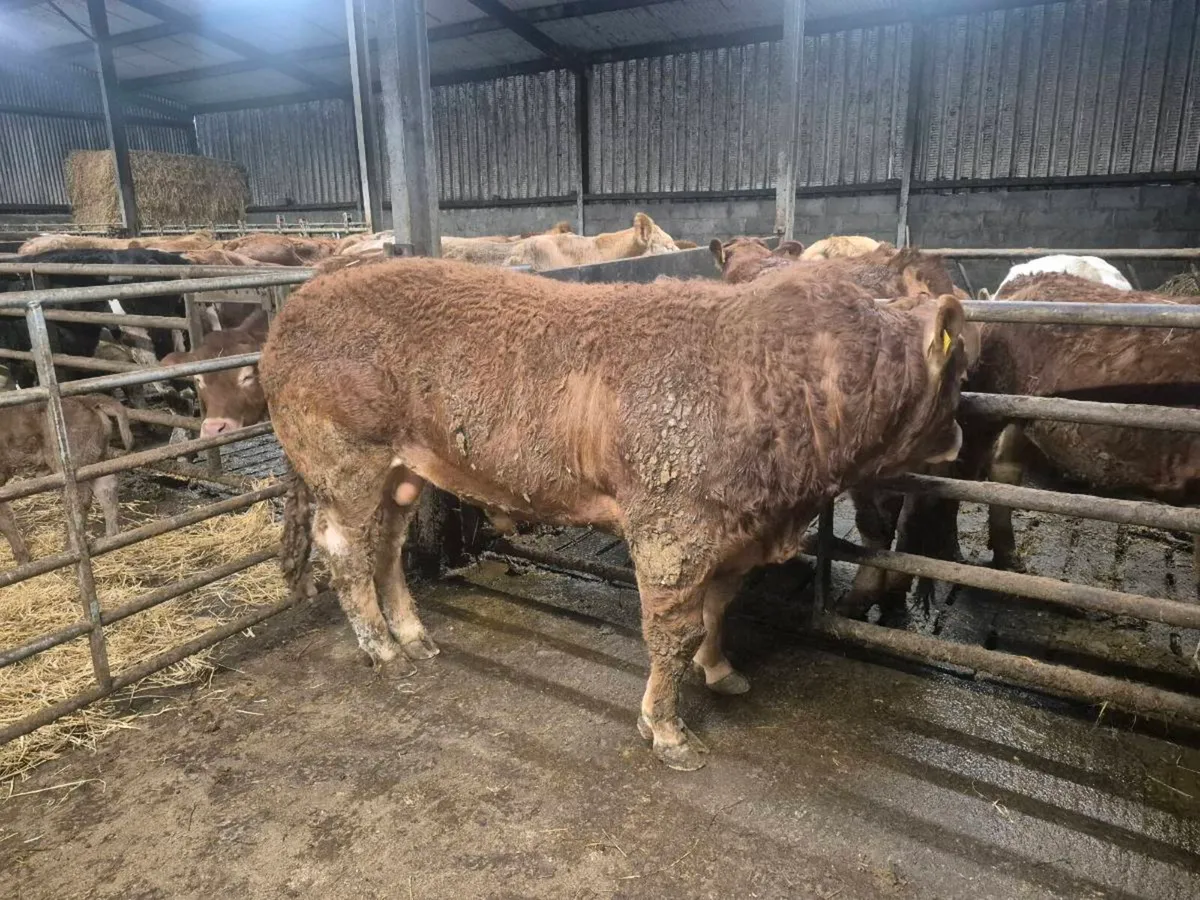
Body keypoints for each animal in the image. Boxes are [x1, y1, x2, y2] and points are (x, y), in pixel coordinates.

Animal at [0, 394, 133, 564]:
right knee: (106, 487)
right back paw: (111, 537)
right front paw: (22, 558)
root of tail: (84, 400)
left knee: (79, 501)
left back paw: (72, 547)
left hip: (71, 466)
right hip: (95, 461)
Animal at [258, 256, 972, 770]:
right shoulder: (670, 526)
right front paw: (669, 733)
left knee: (386, 548)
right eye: (960, 371)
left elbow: (719, 608)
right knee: (344, 549)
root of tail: (296, 306)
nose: (961, 436)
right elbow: (673, 630)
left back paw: (415, 636)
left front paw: (723, 673)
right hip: (344, 459)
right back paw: (383, 650)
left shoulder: (732, 531)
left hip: (403, 471)